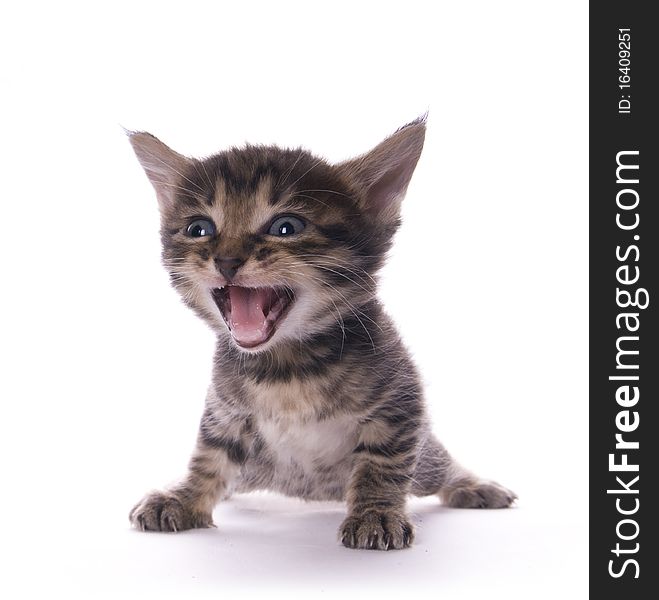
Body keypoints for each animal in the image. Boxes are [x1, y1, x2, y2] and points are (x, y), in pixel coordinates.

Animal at [127, 116, 516, 548]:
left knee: (439, 467)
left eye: (286, 227)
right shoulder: (224, 412)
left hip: (425, 462)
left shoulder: (399, 404)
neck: (286, 367)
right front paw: (185, 496)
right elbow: (209, 456)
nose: (226, 260)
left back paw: (476, 485)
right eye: (199, 228)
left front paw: (376, 514)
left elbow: (383, 463)